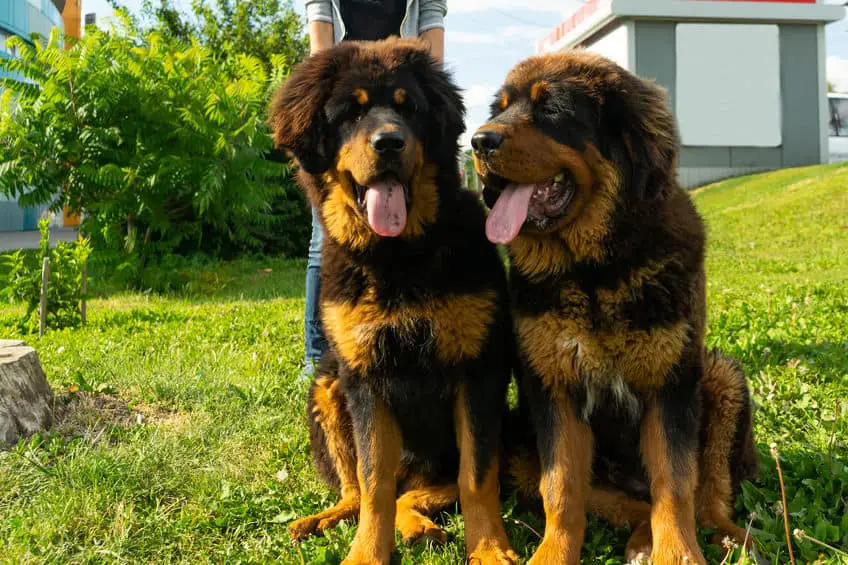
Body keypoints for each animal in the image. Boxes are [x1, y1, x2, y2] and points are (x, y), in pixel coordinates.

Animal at [272, 37, 520, 560]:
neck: (397, 258)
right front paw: (367, 553)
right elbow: (374, 484)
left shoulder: (478, 371)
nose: (389, 142)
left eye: (410, 109)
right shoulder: (364, 378)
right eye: (350, 112)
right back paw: (322, 520)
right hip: (327, 385)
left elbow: (475, 478)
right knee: (356, 491)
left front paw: (489, 548)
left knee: (421, 491)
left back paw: (419, 527)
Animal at [470, 51, 760, 564]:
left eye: (551, 109)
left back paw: (728, 537)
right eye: (499, 109)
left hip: (721, 377)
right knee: (617, 499)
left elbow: (676, 483)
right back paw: (642, 539)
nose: (479, 141)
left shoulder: (671, 383)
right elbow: (562, 488)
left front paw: (678, 553)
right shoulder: (554, 387)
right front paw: (554, 553)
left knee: (709, 491)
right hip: (518, 443)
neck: (594, 273)